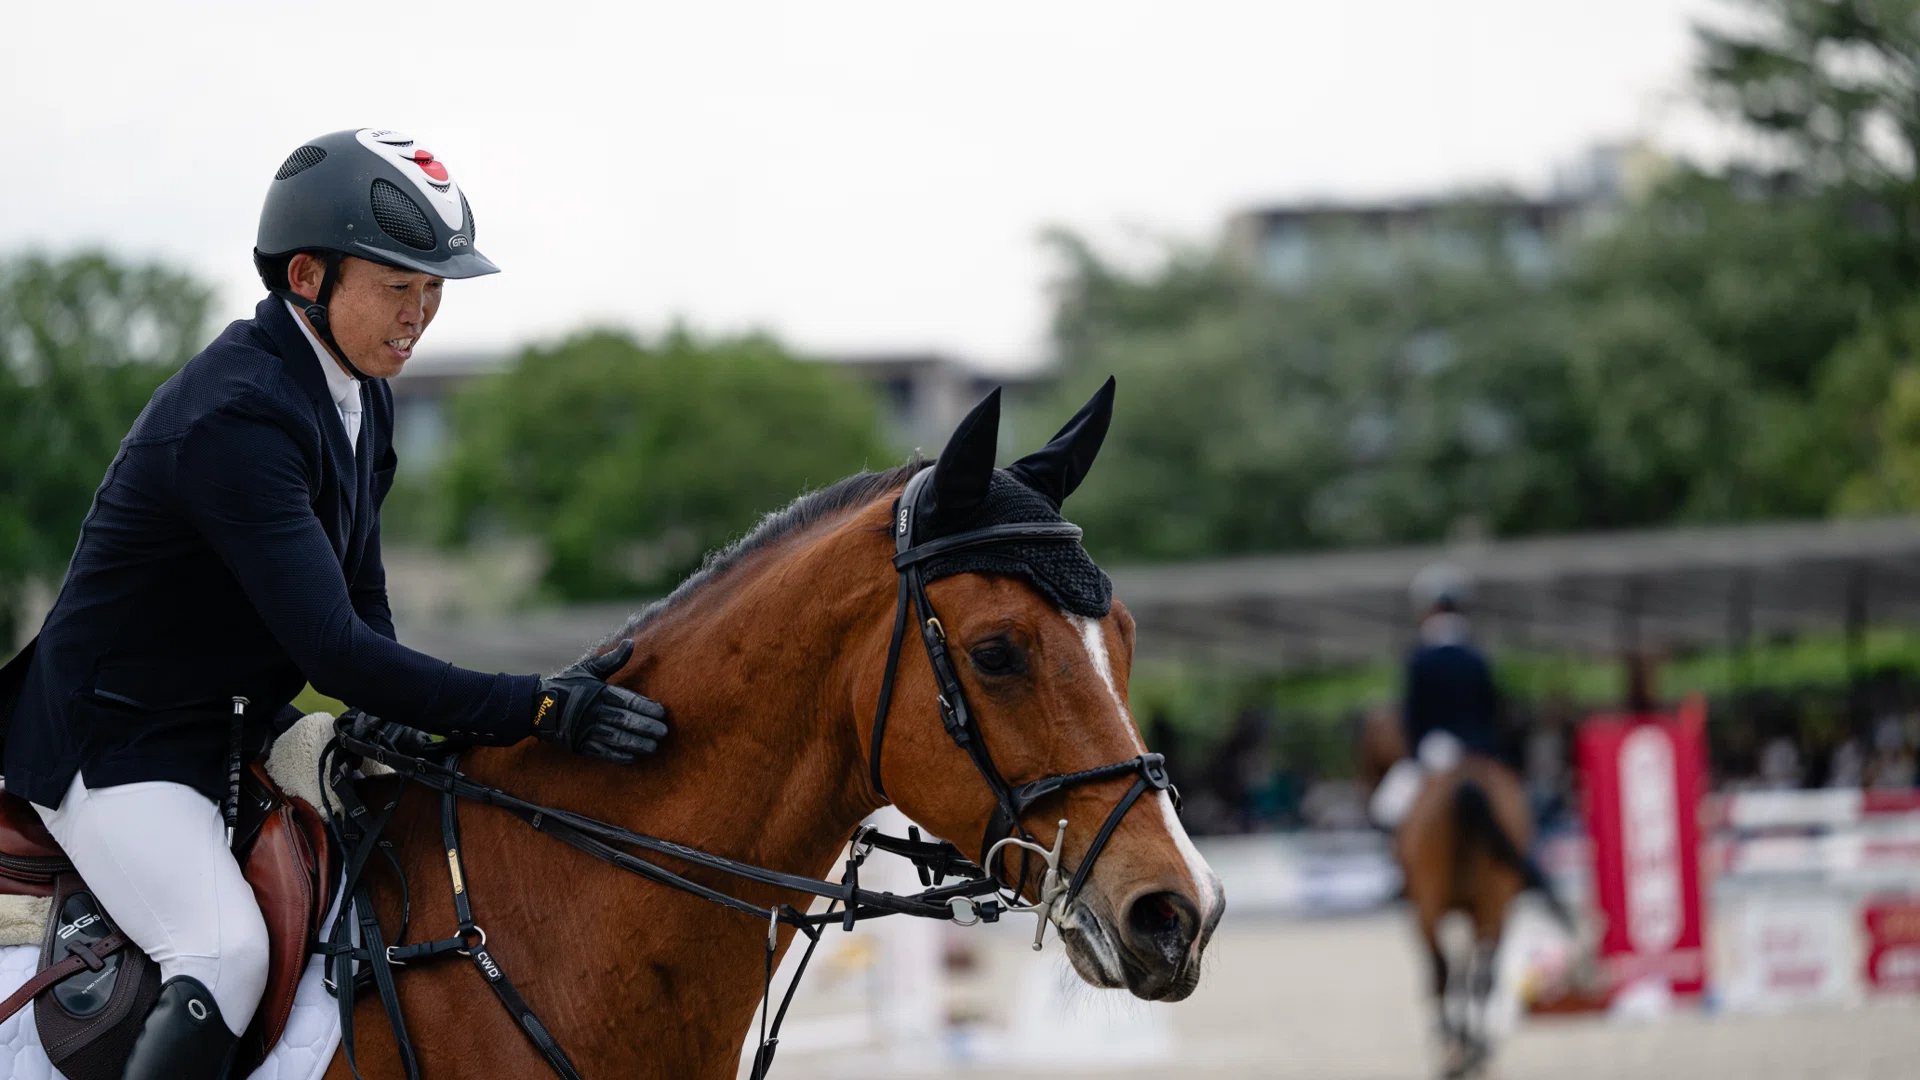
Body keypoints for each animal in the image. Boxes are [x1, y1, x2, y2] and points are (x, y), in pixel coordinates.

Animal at [1359, 706, 1563, 1079]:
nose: (1369, 796)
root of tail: (1467, 779)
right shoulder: (1473, 909)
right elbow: (1466, 972)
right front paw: (1469, 1044)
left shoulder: (1427, 909)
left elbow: (1445, 973)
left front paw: (1452, 1043)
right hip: (1495, 904)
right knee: (1483, 976)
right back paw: (1479, 1052)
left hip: (1431, 905)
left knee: (1442, 971)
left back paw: (1452, 1053)